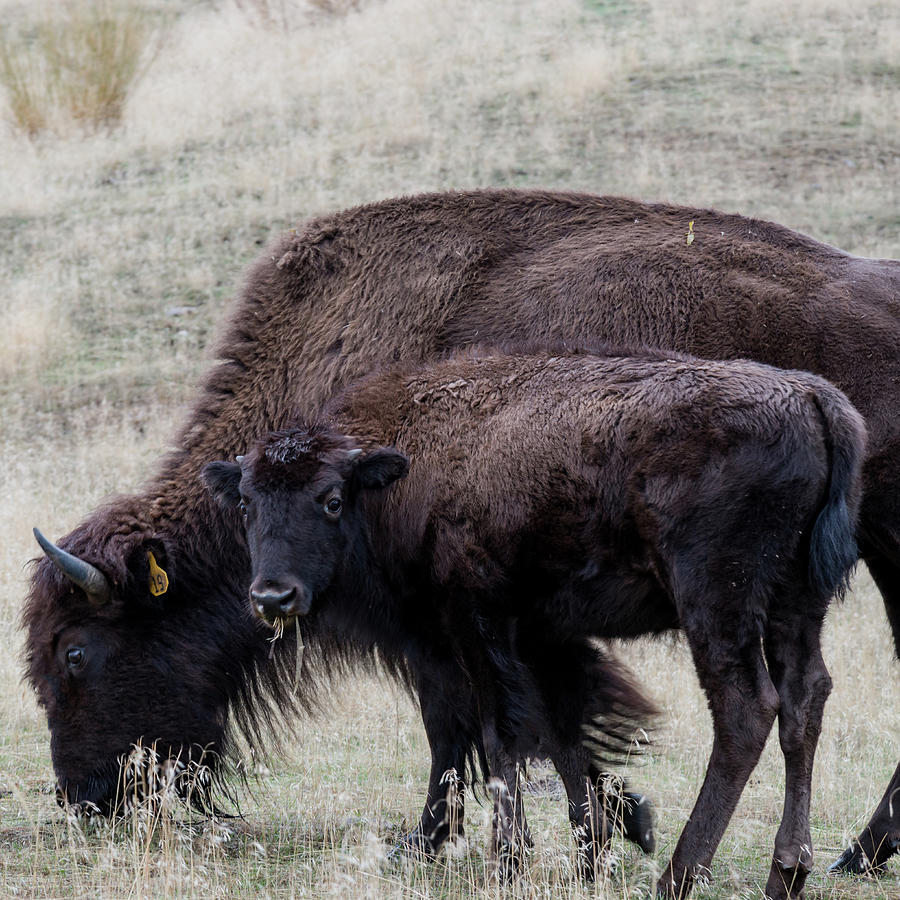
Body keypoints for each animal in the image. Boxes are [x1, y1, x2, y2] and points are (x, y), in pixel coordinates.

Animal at [204, 346, 864, 900]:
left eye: (332, 499)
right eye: (246, 503)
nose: (273, 596)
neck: (402, 469)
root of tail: (811, 398)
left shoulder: (476, 623)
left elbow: (502, 734)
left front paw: (511, 860)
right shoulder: (542, 635)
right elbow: (561, 734)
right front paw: (589, 857)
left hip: (718, 604)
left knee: (746, 710)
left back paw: (678, 876)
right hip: (796, 604)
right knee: (805, 701)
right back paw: (787, 873)